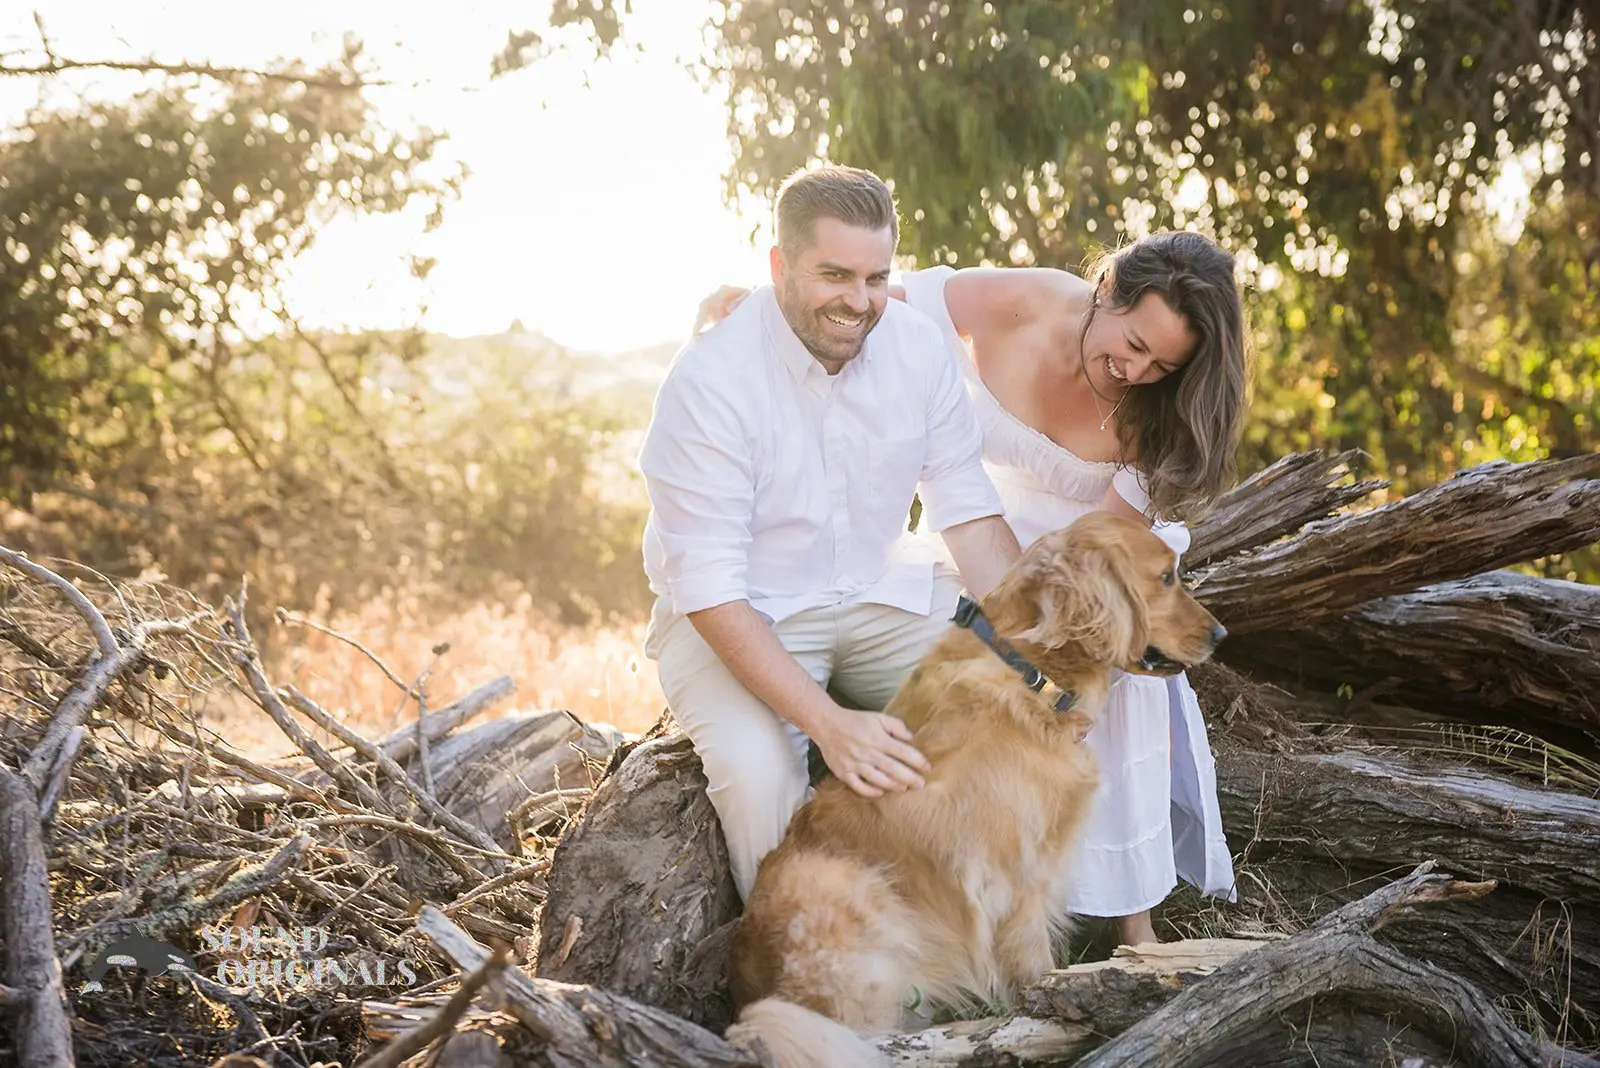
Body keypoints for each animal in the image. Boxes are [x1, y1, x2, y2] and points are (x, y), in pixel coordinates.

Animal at [725, 512, 1226, 1068]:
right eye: (1166, 577)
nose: (1221, 634)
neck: (1029, 673)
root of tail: (743, 997)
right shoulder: (1011, 879)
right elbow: (1035, 965)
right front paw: (1056, 1006)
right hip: (848, 897)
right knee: (866, 1038)